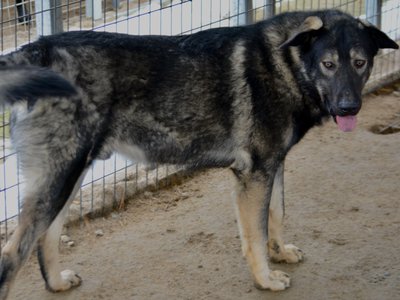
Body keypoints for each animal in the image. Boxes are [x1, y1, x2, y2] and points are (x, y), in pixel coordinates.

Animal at [0, 8, 396, 298]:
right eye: (328, 64)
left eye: (360, 63)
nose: (348, 108)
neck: (286, 63)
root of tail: (37, 50)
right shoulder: (253, 175)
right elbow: (255, 233)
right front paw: (265, 279)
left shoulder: (273, 166)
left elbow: (277, 214)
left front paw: (280, 252)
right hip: (58, 179)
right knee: (12, 253)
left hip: (69, 176)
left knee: (45, 237)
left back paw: (57, 283)